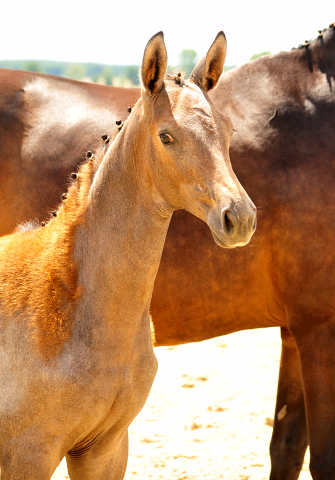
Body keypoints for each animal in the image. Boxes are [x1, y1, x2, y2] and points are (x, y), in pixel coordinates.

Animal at [0, 23, 334, 480]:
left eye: (228, 133)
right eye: (166, 136)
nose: (240, 217)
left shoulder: (104, 449)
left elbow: (287, 446)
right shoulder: (317, 324)